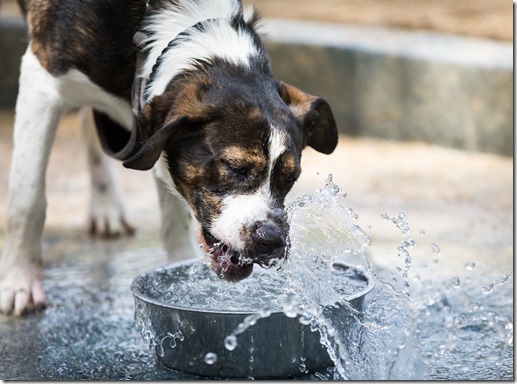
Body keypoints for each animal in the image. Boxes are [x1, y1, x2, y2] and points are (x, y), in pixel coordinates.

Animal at [0, 0, 336, 316]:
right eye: (235, 168)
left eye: (290, 178)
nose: (272, 241)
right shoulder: (41, 81)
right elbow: (27, 203)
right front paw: (19, 283)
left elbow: (176, 223)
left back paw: (106, 205)